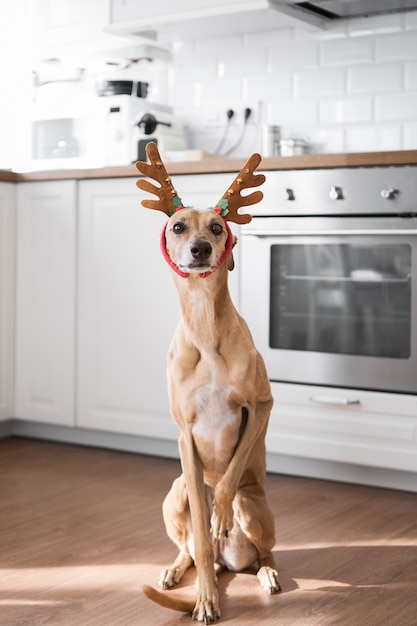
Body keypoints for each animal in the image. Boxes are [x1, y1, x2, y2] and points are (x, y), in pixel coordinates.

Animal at [136, 144, 280, 620]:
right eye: (178, 226)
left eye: (218, 227)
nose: (199, 249)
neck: (204, 326)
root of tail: (226, 560)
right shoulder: (185, 436)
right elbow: (199, 529)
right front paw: (205, 600)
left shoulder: (261, 406)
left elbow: (229, 477)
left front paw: (220, 514)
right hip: (177, 490)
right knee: (192, 550)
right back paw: (179, 570)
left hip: (255, 509)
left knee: (264, 552)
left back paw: (266, 573)